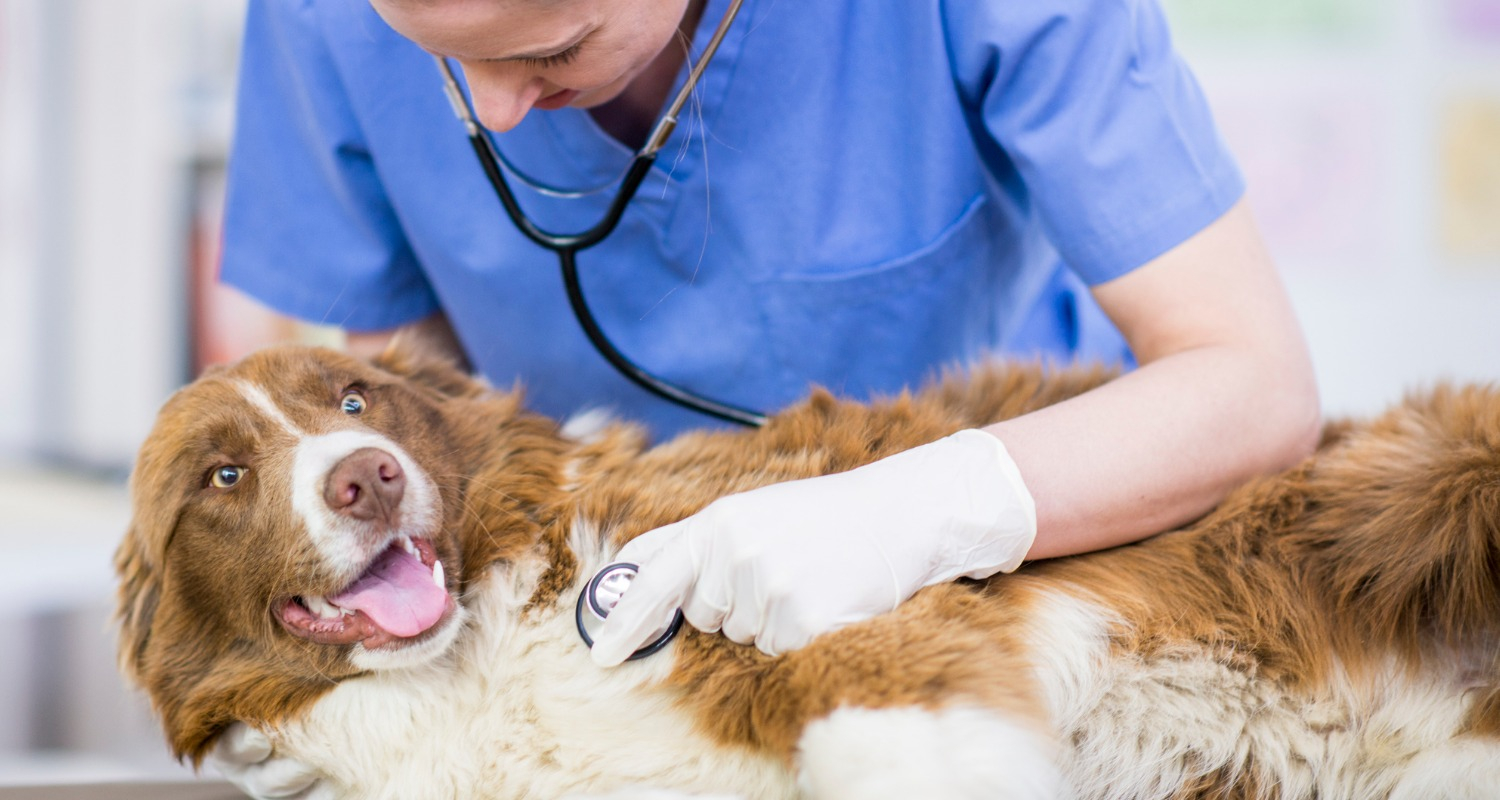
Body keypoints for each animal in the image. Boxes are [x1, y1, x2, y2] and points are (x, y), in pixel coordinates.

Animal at [114, 345, 1500, 798]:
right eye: (223, 476)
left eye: (355, 398)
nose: (367, 475)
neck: (473, 667)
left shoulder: (858, 619)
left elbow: (883, 729)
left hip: (1428, 490)